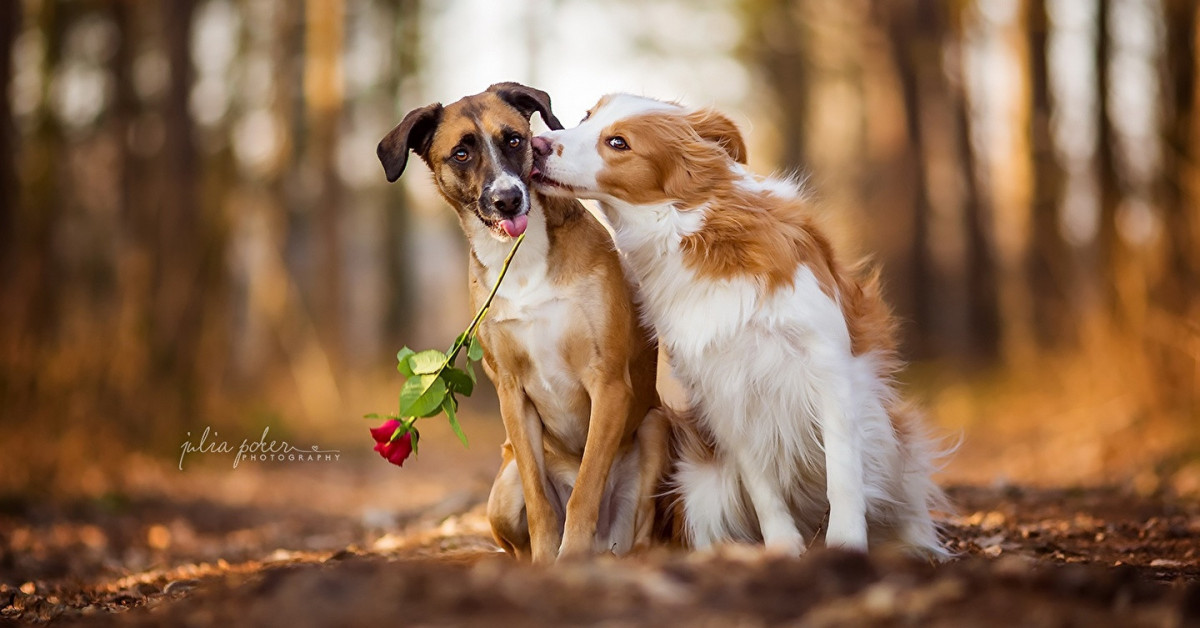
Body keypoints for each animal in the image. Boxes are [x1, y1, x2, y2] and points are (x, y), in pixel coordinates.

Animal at [376, 81, 667, 561]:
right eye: (461, 153)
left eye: (513, 139)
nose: (508, 198)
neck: (523, 259)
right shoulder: (511, 393)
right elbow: (540, 501)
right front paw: (548, 560)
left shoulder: (608, 383)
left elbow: (585, 489)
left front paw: (570, 558)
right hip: (501, 487)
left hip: (654, 430)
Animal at [530, 94, 950, 559]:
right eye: (586, 117)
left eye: (618, 142)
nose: (536, 144)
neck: (693, 231)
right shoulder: (722, 388)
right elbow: (761, 484)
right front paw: (783, 546)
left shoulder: (830, 368)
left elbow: (842, 471)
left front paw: (845, 544)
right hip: (699, 482)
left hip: (895, 442)